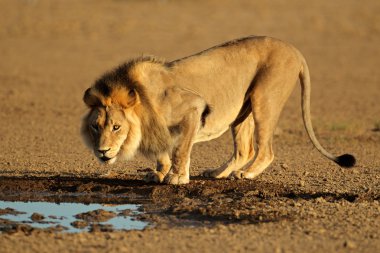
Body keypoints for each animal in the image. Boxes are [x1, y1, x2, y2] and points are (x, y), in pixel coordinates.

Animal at [81, 35, 356, 185]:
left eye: (116, 127)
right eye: (95, 126)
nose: (102, 151)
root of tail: (295, 50)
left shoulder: (193, 107)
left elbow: (181, 150)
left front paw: (176, 177)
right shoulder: (159, 129)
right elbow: (164, 152)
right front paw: (159, 173)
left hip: (264, 98)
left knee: (265, 150)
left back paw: (245, 174)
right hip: (242, 111)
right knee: (245, 150)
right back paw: (218, 173)